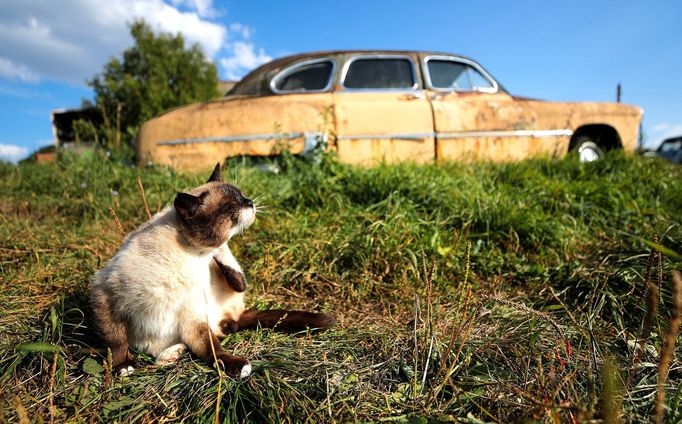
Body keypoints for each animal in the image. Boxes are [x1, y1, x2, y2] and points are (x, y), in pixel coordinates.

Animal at [90, 164, 334, 380]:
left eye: (242, 196)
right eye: (231, 205)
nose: (250, 202)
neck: (196, 257)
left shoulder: (193, 317)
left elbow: (213, 349)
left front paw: (235, 366)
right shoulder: (106, 298)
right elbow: (116, 341)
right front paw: (123, 366)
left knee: (236, 291)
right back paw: (171, 354)